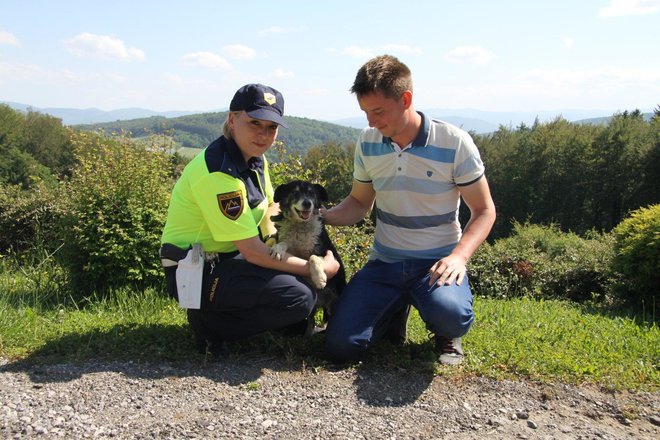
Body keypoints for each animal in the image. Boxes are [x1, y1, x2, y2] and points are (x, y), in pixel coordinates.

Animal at [270, 180, 348, 336]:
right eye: (294, 192)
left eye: (312, 193)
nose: (307, 203)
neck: (301, 226)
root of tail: (322, 303)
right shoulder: (290, 248)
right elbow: (283, 243)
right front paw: (277, 249)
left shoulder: (323, 251)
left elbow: (313, 257)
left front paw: (319, 278)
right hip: (312, 308)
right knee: (311, 322)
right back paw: (307, 335)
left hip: (334, 303)